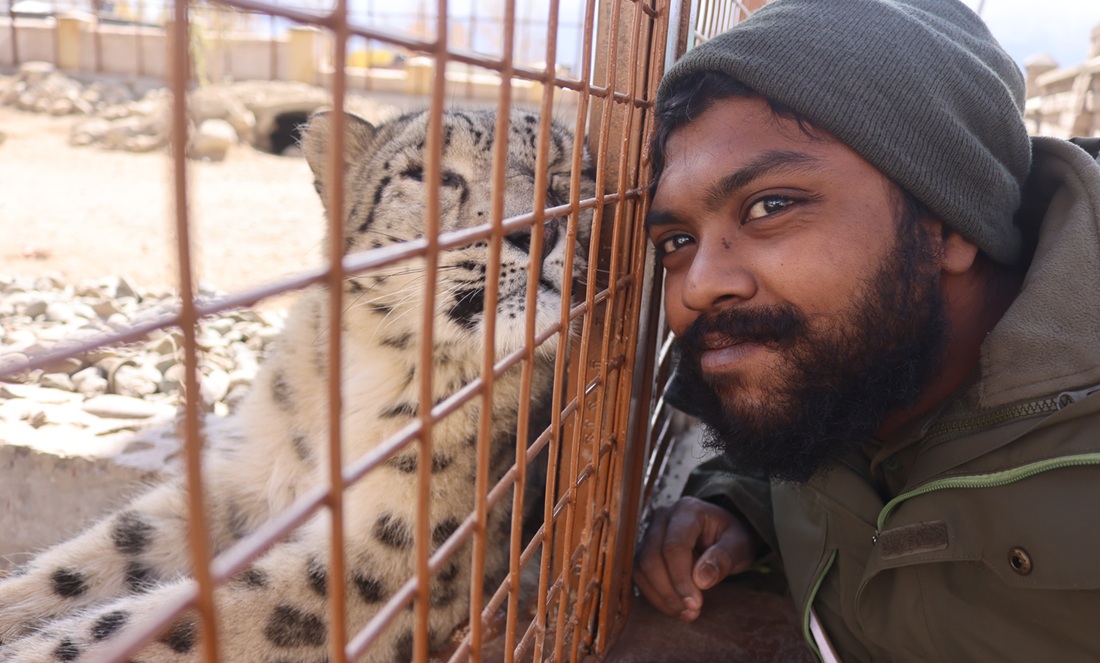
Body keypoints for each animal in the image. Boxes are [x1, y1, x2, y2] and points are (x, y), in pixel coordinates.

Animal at [0, 107, 595, 662]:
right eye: (429, 175)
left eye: (569, 173)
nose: (537, 228)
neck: (378, 366)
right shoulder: (248, 479)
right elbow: (100, 557)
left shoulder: (396, 550)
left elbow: (168, 623)